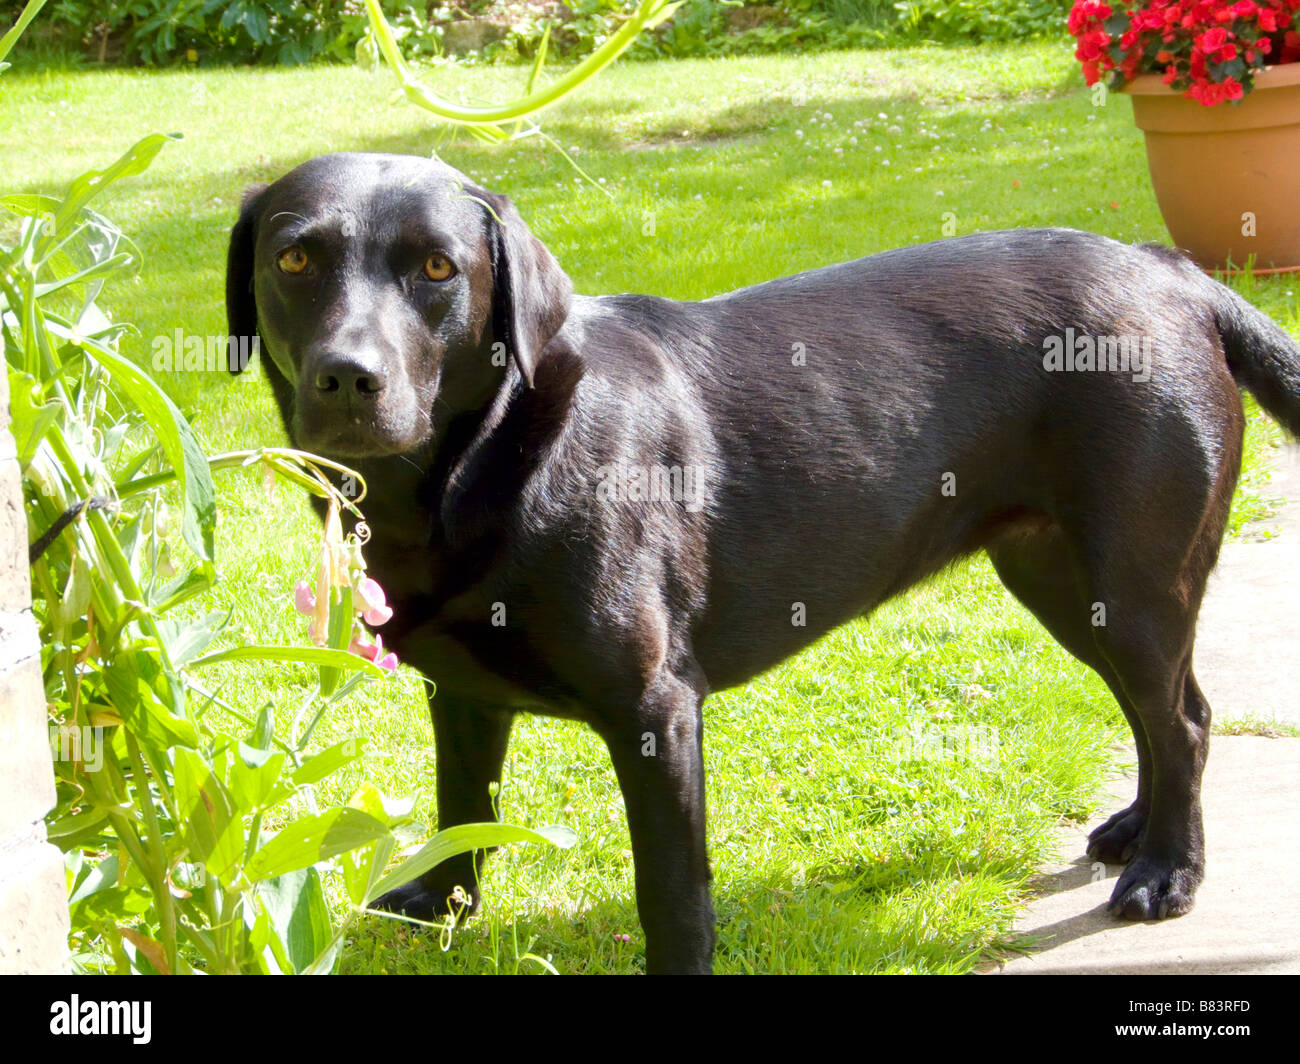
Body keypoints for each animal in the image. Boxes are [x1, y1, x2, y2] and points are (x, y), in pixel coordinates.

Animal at [228, 149, 1300, 967]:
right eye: (296, 256)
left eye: (440, 270)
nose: (347, 377)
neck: (487, 455)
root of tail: (1175, 272)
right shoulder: (460, 690)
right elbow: (463, 801)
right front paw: (441, 906)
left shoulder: (655, 708)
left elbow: (670, 889)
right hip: (1062, 581)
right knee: (1162, 710)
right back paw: (1137, 831)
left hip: (1136, 576)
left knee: (1184, 719)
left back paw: (1166, 870)